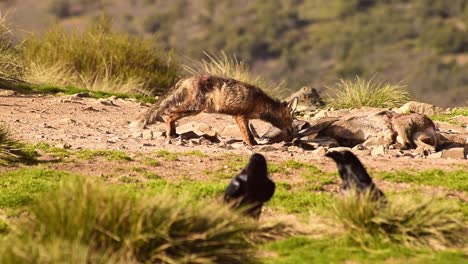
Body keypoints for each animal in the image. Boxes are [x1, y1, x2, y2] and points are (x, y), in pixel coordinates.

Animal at [129, 75, 296, 146]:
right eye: (292, 121)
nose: (293, 135)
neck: (260, 102)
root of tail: (186, 79)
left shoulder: (243, 117)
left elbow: (248, 133)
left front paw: (253, 143)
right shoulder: (240, 116)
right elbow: (247, 135)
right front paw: (252, 146)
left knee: (170, 115)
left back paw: (175, 134)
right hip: (195, 108)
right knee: (170, 115)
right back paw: (170, 135)